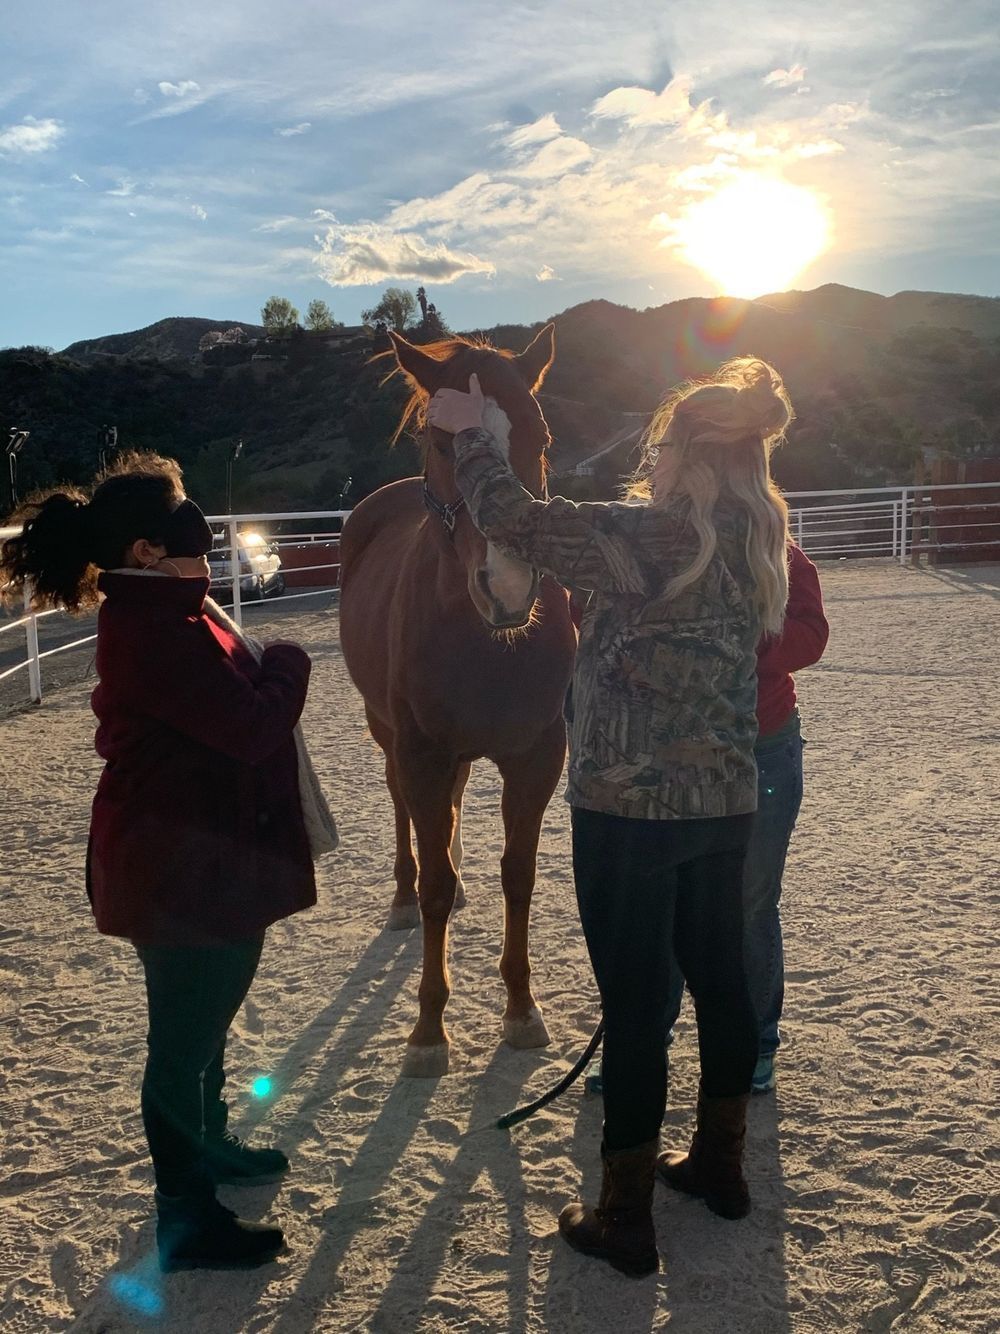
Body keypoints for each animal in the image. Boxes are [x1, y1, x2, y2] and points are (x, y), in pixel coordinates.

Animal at [338, 327, 577, 1077]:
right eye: (439, 444)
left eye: (540, 435)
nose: (508, 586)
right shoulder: (420, 751)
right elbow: (435, 886)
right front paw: (427, 1030)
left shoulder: (536, 756)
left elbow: (519, 875)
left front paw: (522, 1009)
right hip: (386, 734)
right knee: (405, 814)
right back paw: (401, 895)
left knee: (451, 808)